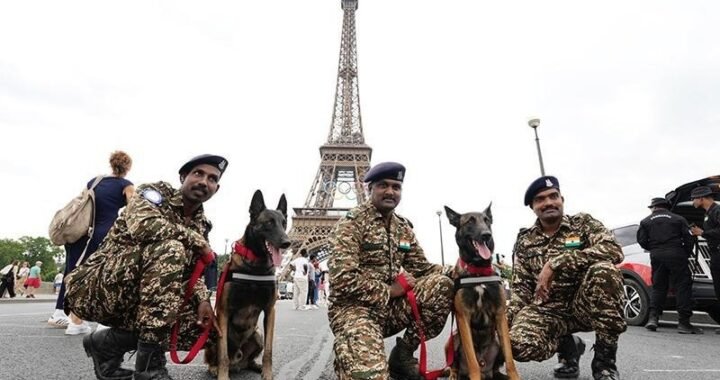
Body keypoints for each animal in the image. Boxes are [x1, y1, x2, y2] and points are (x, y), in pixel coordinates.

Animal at [205, 190, 290, 380]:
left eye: (284, 223)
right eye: (268, 222)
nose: (287, 242)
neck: (255, 266)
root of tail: (238, 362)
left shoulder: (270, 311)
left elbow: (269, 351)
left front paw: (267, 374)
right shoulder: (223, 312)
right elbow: (222, 355)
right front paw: (222, 376)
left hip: (257, 335)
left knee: (249, 360)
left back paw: (255, 366)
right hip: (213, 333)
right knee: (216, 358)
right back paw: (214, 368)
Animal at [442, 205, 520, 380]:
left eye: (487, 220)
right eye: (470, 221)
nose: (486, 235)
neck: (478, 272)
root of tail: (487, 371)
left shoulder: (500, 315)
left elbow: (510, 359)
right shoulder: (463, 317)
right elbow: (472, 361)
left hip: (496, 340)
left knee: (497, 369)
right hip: (452, 340)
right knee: (454, 366)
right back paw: (454, 375)